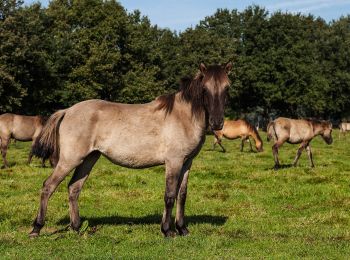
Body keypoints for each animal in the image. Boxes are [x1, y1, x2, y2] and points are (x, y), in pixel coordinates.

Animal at [29, 62, 232, 238]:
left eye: (227, 88)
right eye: (204, 89)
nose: (217, 123)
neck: (183, 116)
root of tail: (67, 111)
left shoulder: (187, 162)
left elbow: (182, 195)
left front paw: (182, 229)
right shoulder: (173, 162)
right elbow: (170, 195)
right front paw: (167, 230)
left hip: (89, 158)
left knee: (74, 188)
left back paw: (76, 227)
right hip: (70, 159)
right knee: (48, 186)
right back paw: (36, 228)